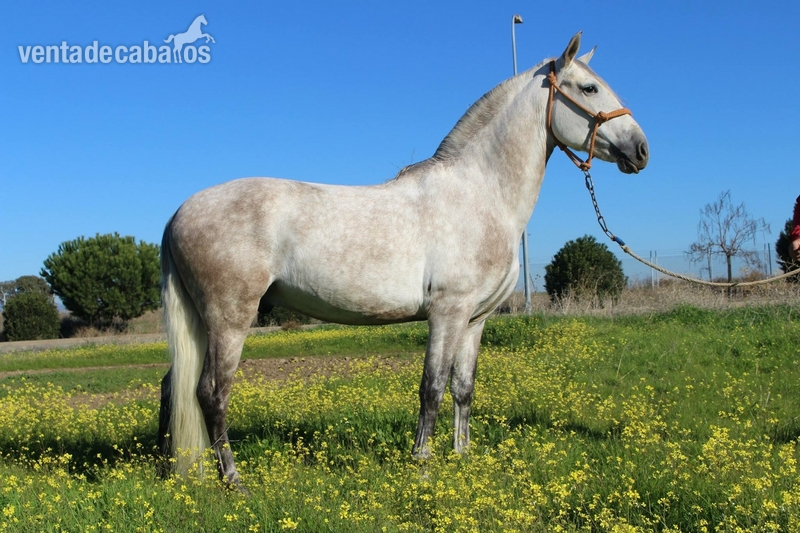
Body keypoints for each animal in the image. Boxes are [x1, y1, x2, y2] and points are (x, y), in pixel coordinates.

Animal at [157, 32, 649, 487]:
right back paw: (232, 480)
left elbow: (463, 389)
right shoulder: (447, 312)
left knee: (172, 388)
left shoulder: (474, 320)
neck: (480, 194)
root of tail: (178, 213)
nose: (641, 149)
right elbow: (431, 389)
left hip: (202, 321)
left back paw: (173, 473)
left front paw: (462, 458)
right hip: (229, 319)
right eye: (588, 88)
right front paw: (423, 466)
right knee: (211, 393)